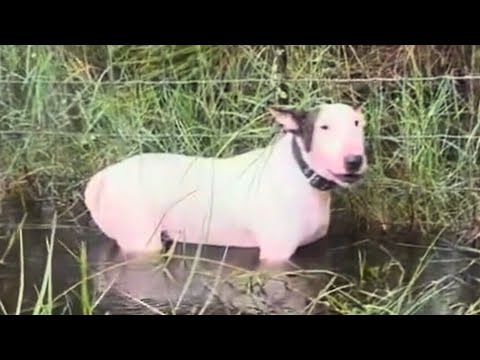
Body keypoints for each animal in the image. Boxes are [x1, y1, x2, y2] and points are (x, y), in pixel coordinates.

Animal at [83, 103, 368, 264]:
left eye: (357, 124)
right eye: (324, 127)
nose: (354, 160)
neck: (301, 174)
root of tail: (103, 177)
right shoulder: (275, 255)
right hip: (141, 239)